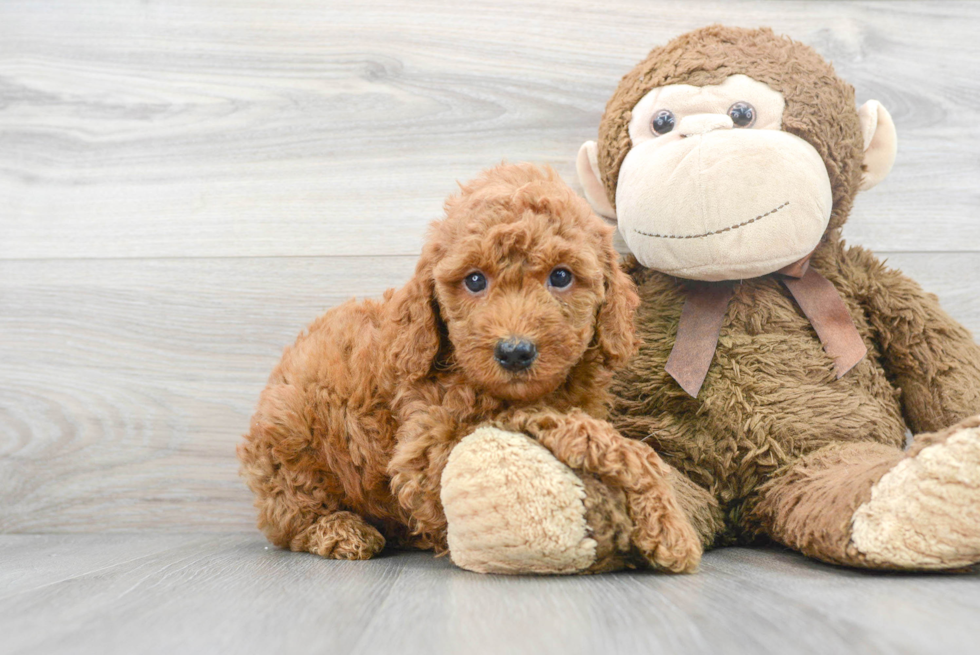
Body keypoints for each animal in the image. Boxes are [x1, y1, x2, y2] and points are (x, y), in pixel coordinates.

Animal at [237, 161, 688, 560]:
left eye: (561, 276)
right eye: (474, 280)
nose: (515, 351)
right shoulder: (426, 452)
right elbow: (537, 423)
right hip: (290, 447)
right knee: (292, 519)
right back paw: (342, 531)